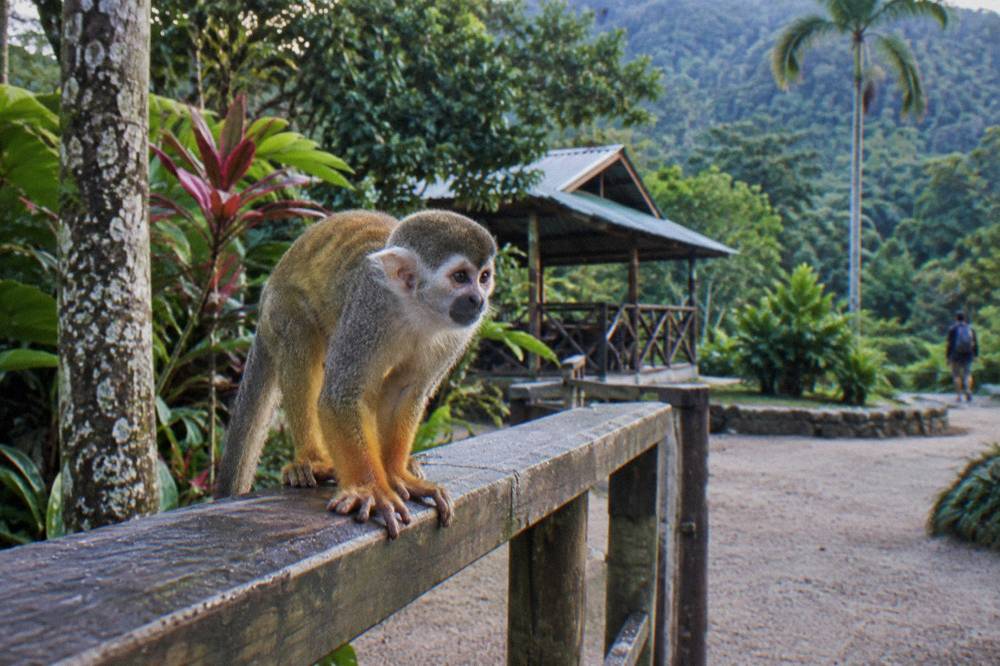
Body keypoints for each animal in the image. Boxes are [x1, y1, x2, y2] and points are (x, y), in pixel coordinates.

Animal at [213, 209, 497, 539]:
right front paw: (370, 488)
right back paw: (311, 460)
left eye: (484, 277)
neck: (416, 309)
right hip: (280, 307)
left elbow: (406, 392)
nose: (479, 300)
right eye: (460, 277)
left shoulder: (456, 336)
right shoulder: (369, 307)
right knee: (300, 337)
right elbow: (342, 395)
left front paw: (398, 475)